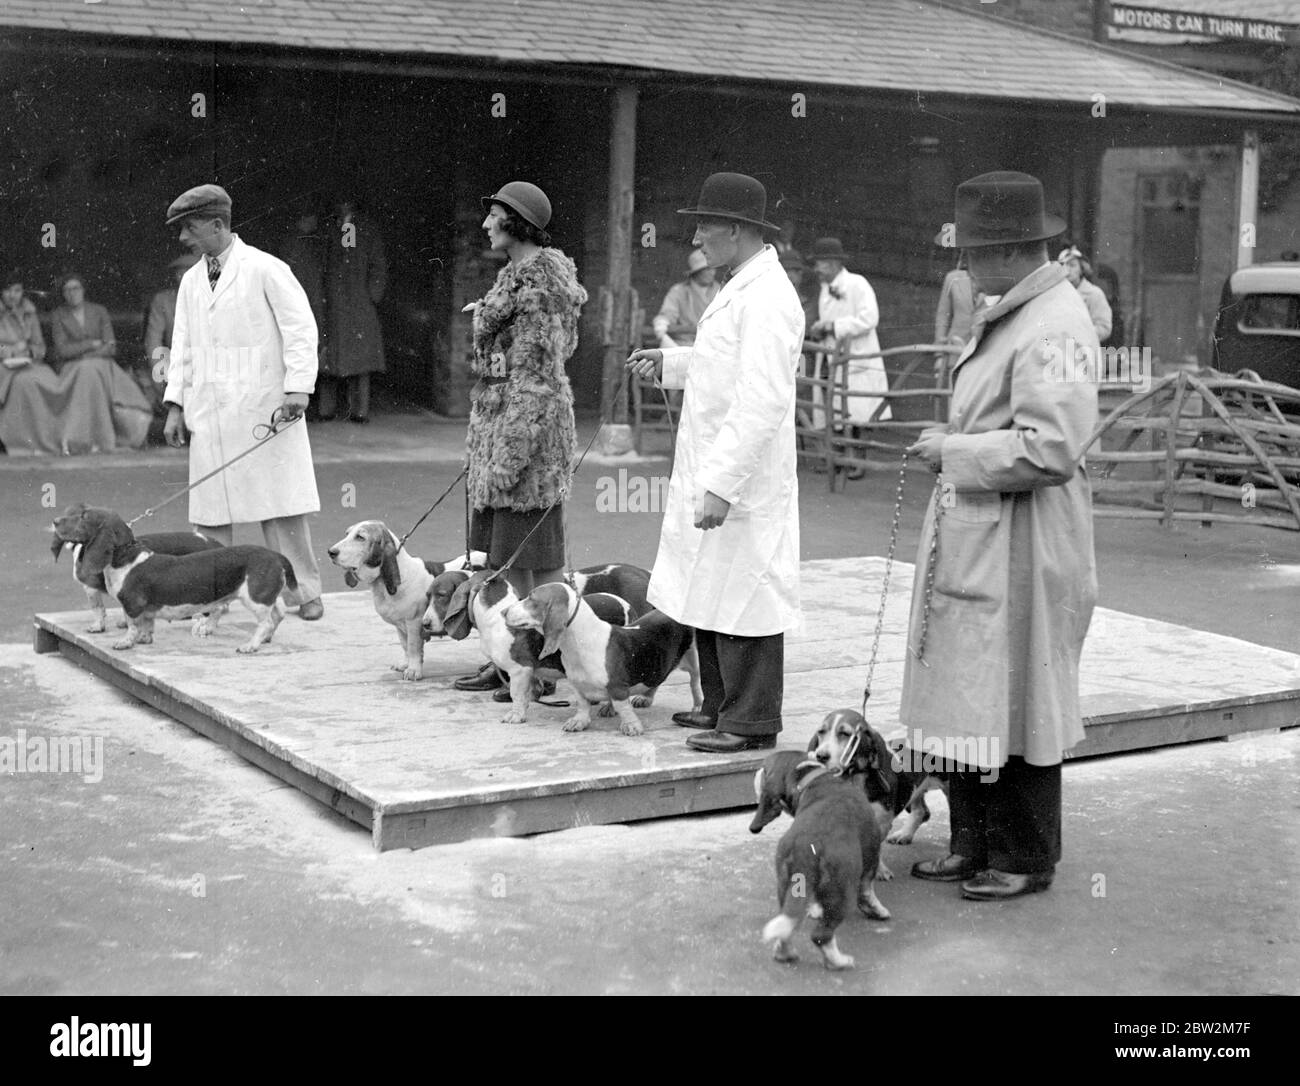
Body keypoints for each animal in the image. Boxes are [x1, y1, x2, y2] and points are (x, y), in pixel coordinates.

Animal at [51, 502, 220, 632]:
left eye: (83, 517)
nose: (54, 521)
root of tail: (216, 544)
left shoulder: (91, 588)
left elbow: (97, 609)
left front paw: (98, 627)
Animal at [64, 509, 297, 652]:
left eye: (84, 516)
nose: (57, 522)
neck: (126, 556)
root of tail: (277, 556)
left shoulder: (132, 604)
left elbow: (131, 625)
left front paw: (125, 642)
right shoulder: (145, 608)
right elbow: (147, 625)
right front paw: (145, 639)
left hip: (254, 598)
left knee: (265, 622)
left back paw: (250, 645)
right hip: (265, 596)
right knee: (278, 614)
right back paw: (265, 639)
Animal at [327, 517, 486, 681]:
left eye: (360, 537)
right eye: (347, 534)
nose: (331, 552)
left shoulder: (414, 623)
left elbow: (413, 647)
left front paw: (413, 670)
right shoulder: (400, 626)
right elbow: (405, 646)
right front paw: (405, 664)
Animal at [499, 577, 702, 738]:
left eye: (531, 598)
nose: (503, 612)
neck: (578, 644)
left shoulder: (617, 687)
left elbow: (622, 707)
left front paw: (631, 726)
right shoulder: (577, 685)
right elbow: (582, 704)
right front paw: (578, 721)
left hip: (695, 662)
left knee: (695, 683)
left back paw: (698, 708)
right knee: (657, 679)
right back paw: (645, 698)